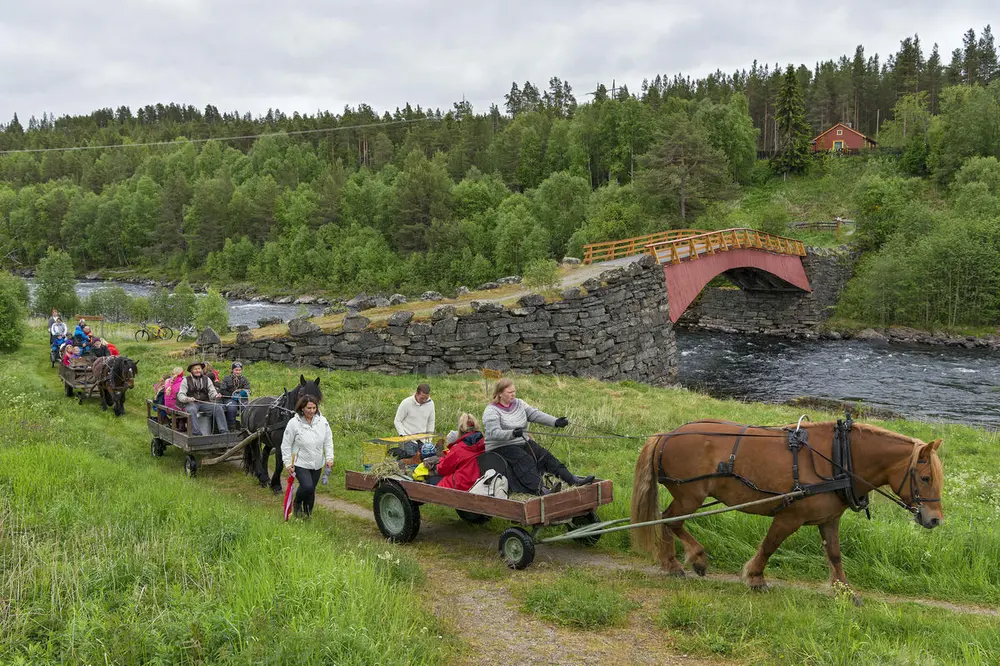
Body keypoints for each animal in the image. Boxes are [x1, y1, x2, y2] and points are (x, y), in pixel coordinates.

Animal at [628, 418, 940, 600]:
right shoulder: (790, 516)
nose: (935, 520)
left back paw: (671, 563)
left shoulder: (828, 520)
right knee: (672, 521)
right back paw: (694, 558)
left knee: (666, 521)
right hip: (689, 495)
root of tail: (665, 435)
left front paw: (845, 589)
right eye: (925, 478)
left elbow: (835, 555)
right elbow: (769, 545)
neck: (838, 457)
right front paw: (755, 577)